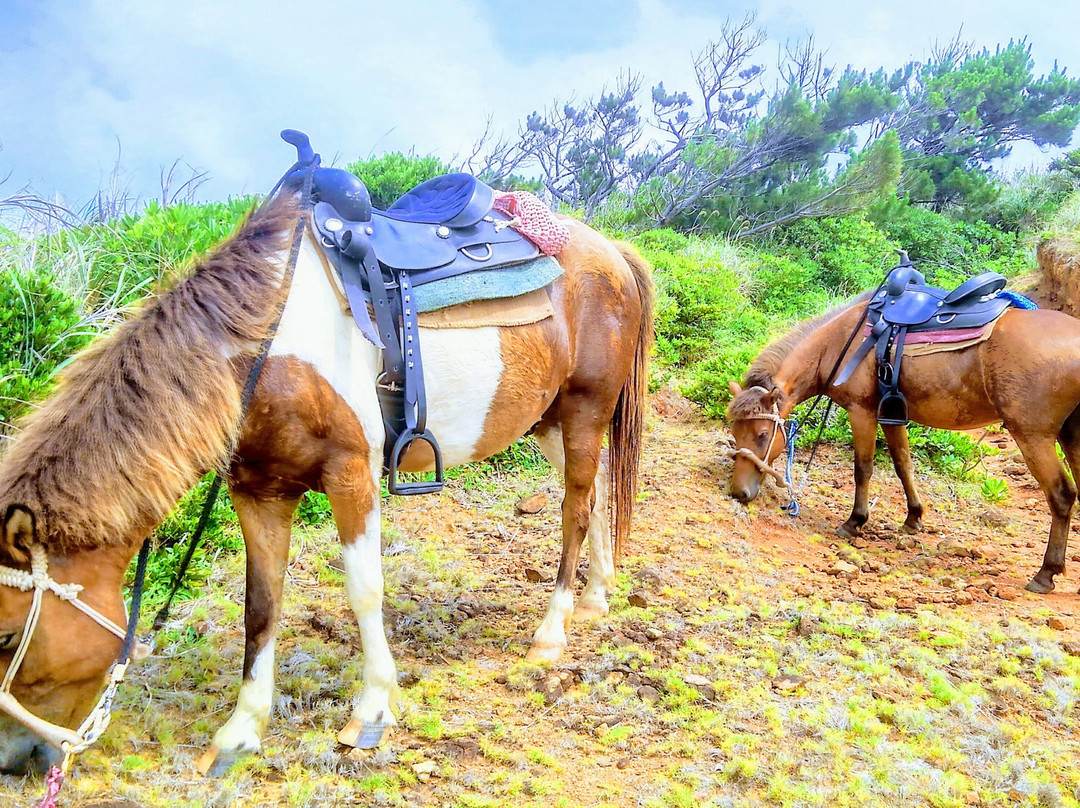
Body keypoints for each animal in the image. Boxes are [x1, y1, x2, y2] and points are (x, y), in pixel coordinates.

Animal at [0, 191, 648, 777]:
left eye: (7, 637)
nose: (16, 761)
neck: (263, 349)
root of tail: (609, 249)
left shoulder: (350, 473)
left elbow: (364, 591)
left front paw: (372, 713)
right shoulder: (258, 491)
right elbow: (261, 607)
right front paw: (240, 732)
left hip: (585, 409)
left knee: (574, 509)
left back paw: (552, 632)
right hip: (550, 420)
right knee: (594, 495)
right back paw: (597, 596)